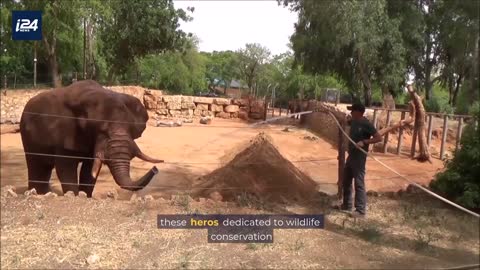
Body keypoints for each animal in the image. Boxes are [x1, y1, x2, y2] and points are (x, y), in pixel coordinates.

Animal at [19, 79, 162, 197]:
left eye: (130, 128)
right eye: (99, 130)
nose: (155, 169)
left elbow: (89, 169)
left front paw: (85, 195)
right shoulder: (63, 134)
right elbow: (66, 167)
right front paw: (73, 195)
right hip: (27, 135)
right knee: (36, 164)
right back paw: (36, 193)